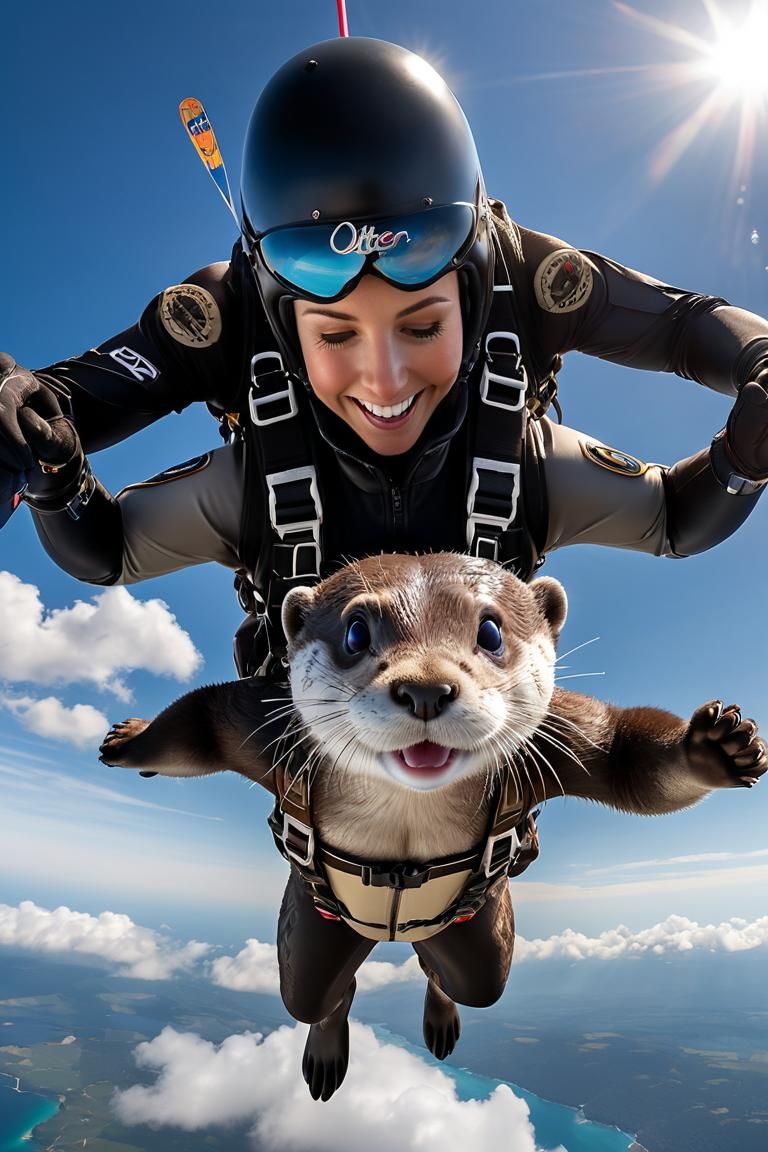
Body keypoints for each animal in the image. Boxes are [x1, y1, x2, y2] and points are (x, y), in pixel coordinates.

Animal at [99, 553, 765, 1102]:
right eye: (356, 631)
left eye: (491, 631)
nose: (424, 688)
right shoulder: (266, 731)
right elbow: (207, 719)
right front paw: (135, 742)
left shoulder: (563, 736)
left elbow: (629, 758)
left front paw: (713, 748)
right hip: (316, 928)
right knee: (315, 992)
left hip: (477, 932)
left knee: (462, 978)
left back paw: (440, 1014)